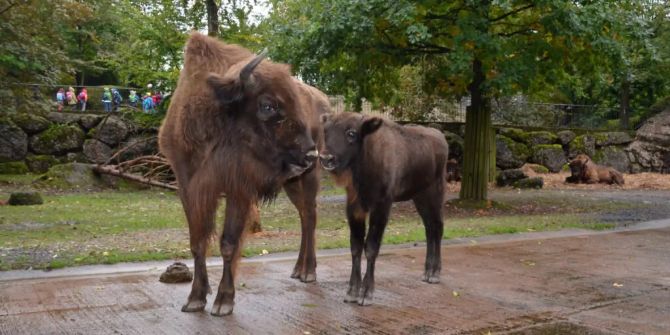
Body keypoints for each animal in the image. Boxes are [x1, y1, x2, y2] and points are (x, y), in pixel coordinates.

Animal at [158, 32, 328, 316]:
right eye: (268, 105)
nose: (309, 154)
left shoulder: (238, 189)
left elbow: (229, 243)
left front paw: (223, 302)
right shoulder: (188, 187)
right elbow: (197, 241)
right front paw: (195, 299)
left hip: (308, 178)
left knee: (312, 216)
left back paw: (308, 273)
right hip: (292, 183)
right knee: (304, 216)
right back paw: (297, 269)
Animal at [322, 113, 452, 308]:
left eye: (351, 133)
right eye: (326, 131)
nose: (326, 158)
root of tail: (440, 137)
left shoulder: (381, 207)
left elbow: (371, 247)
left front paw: (366, 295)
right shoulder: (355, 208)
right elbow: (356, 247)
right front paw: (351, 292)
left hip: (435, 196)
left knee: (438, 228)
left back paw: (434, 274)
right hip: (419, 198)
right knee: (430, 229)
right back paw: (427, 273)